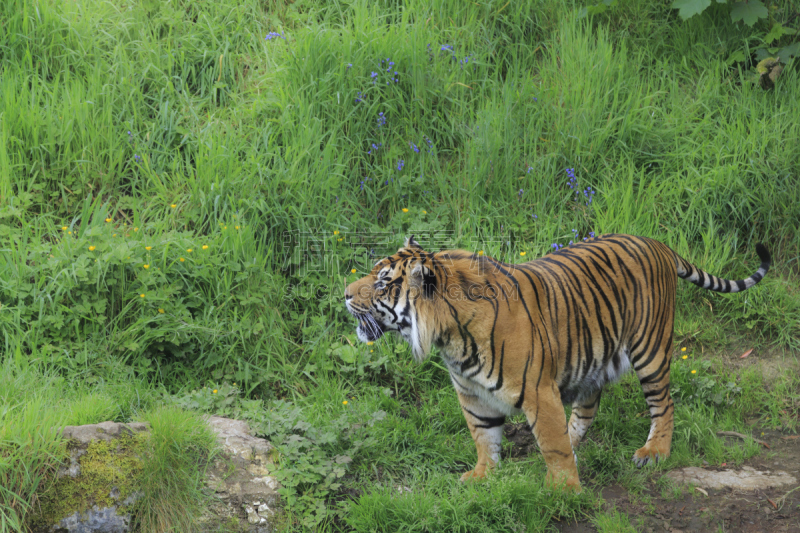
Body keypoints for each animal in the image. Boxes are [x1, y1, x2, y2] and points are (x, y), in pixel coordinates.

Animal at [342, 234, 768, 490]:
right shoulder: (472, 395)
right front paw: (482, 477)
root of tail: (656, 243)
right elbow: (484, 438)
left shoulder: (537, 390)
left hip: (650, 350)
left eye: (382, 282)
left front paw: (563, 491)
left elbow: (551, 444)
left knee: (664, 405)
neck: (451, 339)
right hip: (593, 357)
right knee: (587, 408)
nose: (344, 293)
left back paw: (654, 452)